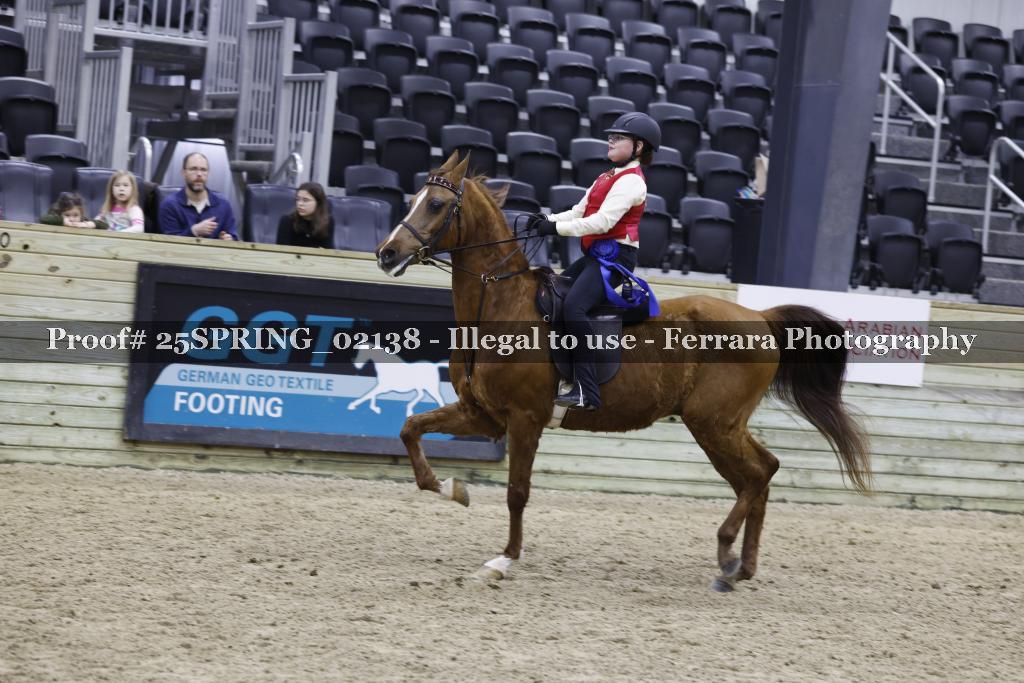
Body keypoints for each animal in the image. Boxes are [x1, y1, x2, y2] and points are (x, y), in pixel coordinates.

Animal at [375, 151, 871, 591]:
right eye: (414, 198)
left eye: (436, 204)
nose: (387, 253)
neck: (501, 307)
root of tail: (761, 317)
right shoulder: (483, 414)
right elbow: (410, 429)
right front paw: (450, 488)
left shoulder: (524, 419)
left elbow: (517, 492)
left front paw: (503, 561)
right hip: (720, 426)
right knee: (760, 473)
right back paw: (739, 568)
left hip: (714, 423)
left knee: (757, 475)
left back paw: (727, 552)